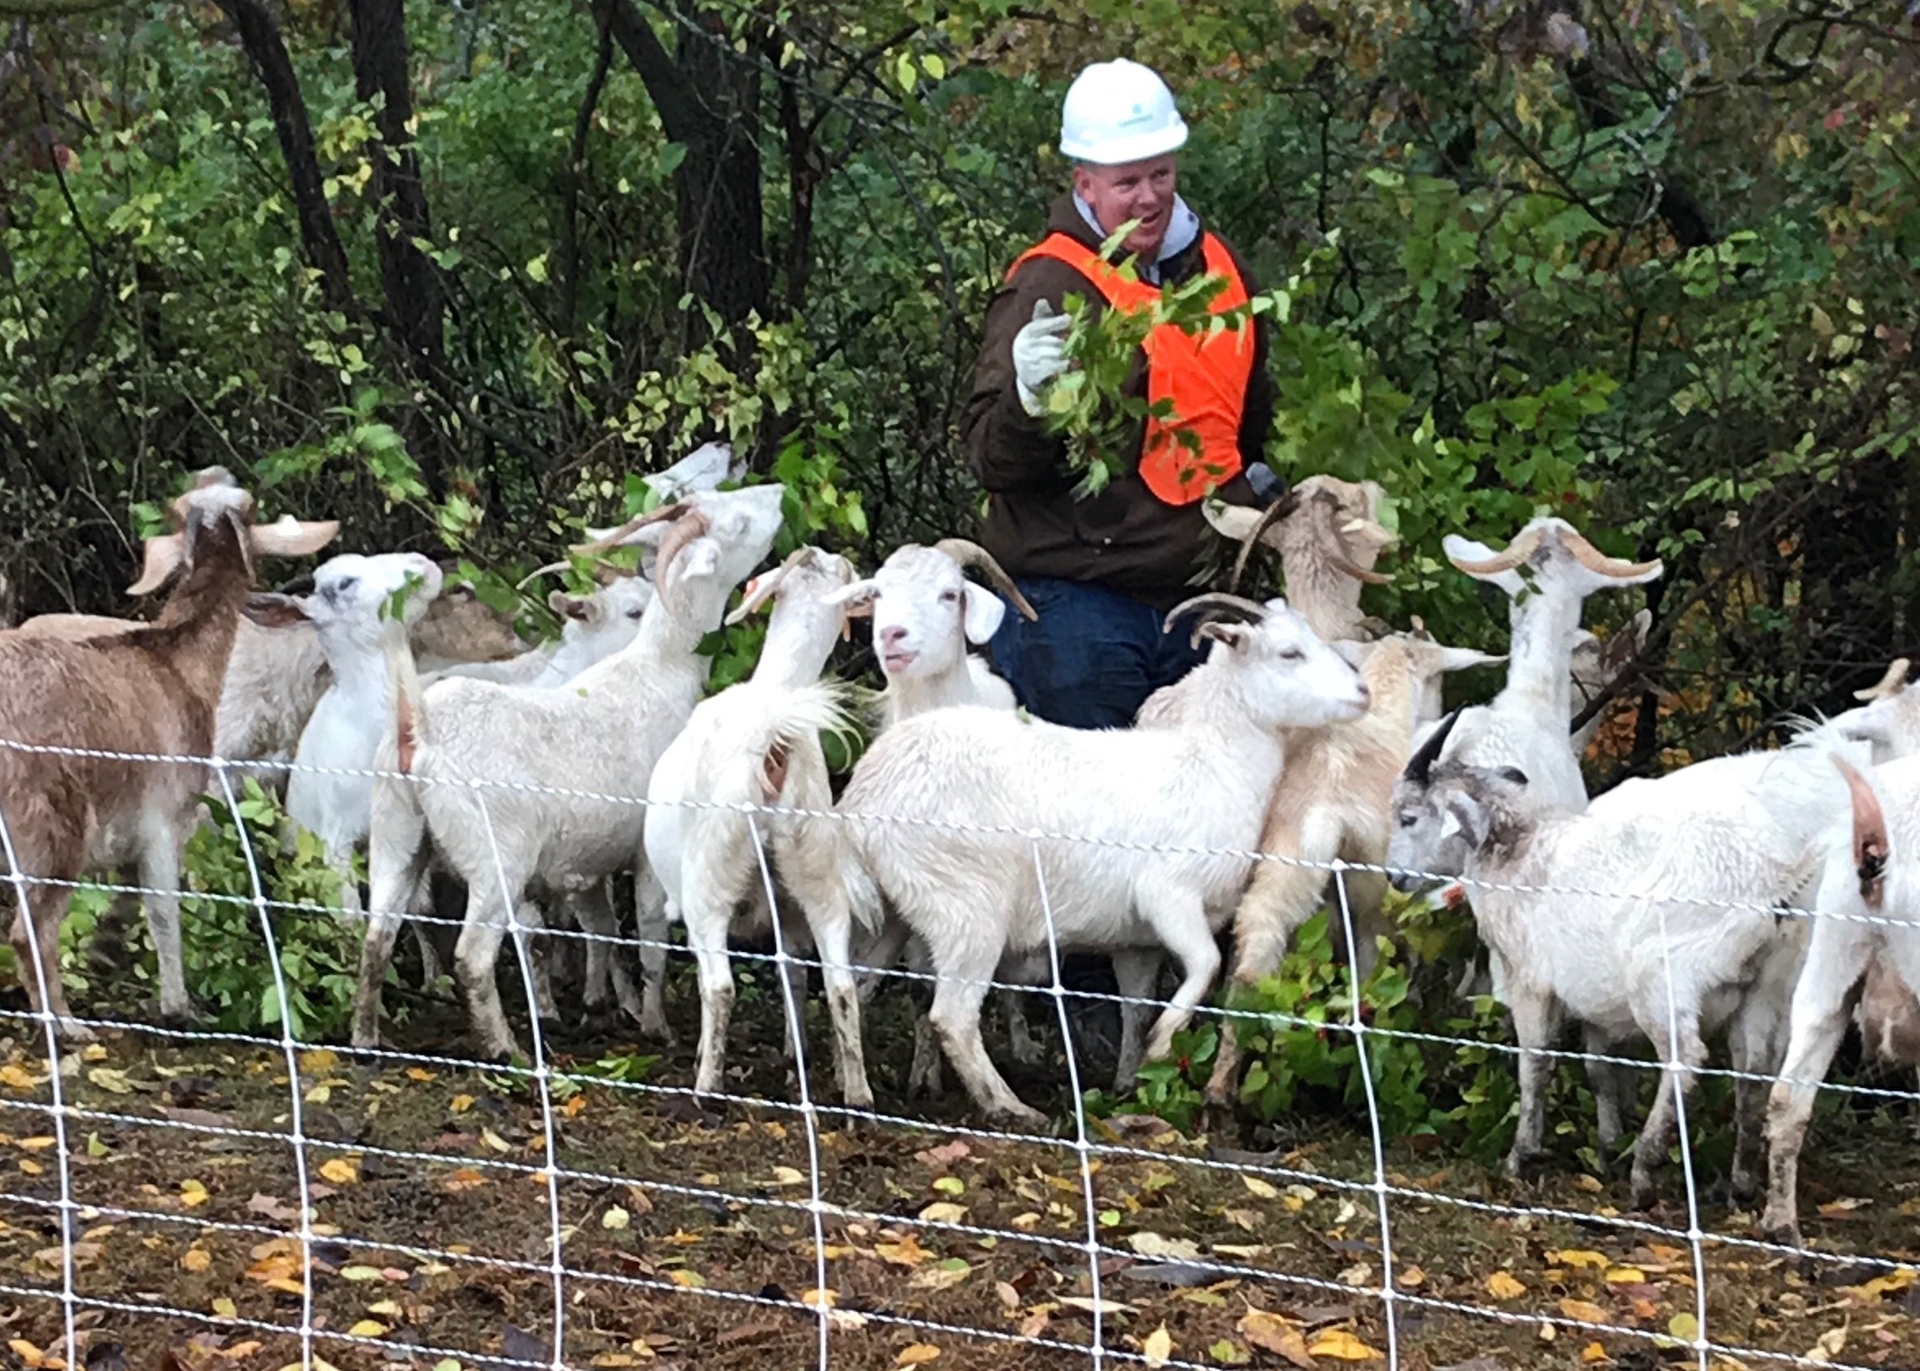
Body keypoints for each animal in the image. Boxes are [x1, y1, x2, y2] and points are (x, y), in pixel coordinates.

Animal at [0, 468, 335, 1036]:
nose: (216, 472)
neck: (179, 665)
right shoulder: (165, 815)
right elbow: (165, 908)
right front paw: (177, 1004)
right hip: (52, 825)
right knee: (30, 930)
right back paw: (67, 1025)